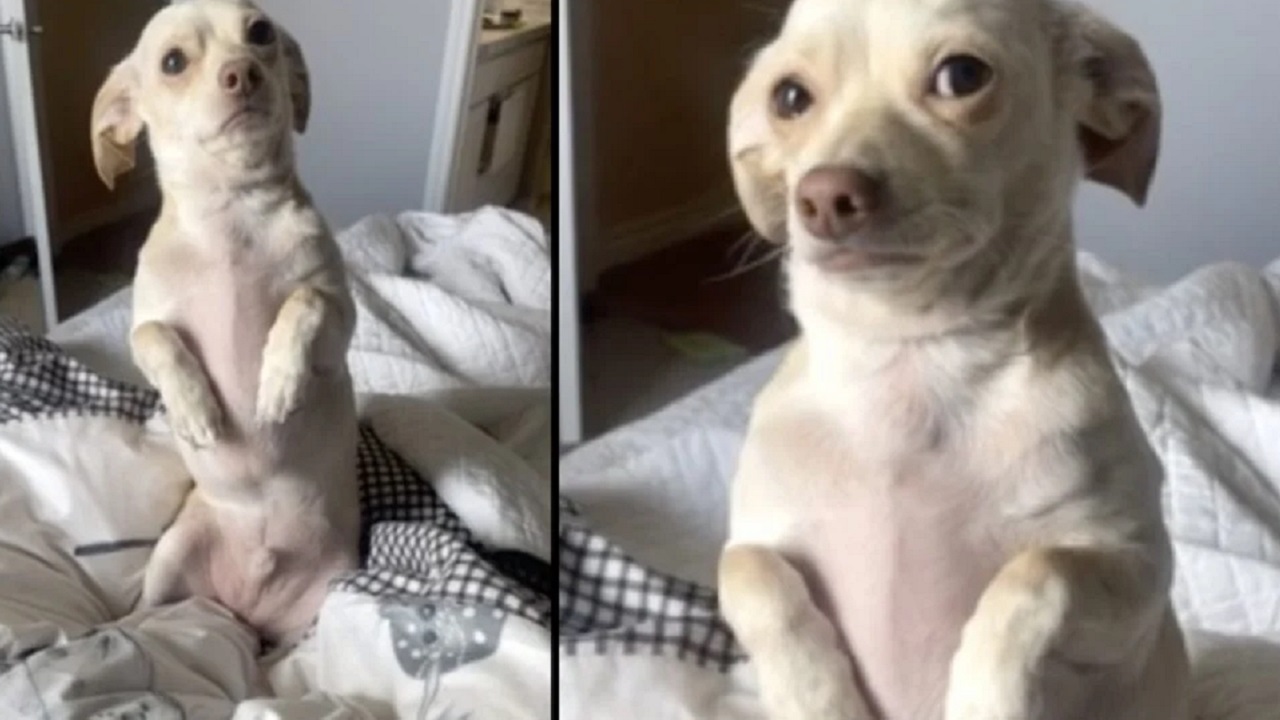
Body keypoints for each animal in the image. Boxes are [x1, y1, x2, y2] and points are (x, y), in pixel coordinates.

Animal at [91, 0, 360, 640]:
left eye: (260, 33)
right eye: (172, 63)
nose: (243, 71)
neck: (232, 216)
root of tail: (249, 611)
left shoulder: (339, 323)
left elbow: (303, 302)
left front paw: (279, 382)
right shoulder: (145, 327)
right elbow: (157, 335)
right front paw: (194, 408)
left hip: (330, 596)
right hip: (172, 557)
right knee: (149, 613)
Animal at [721, 1, 1187, 717]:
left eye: (962, 75)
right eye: (789, 98)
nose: (825, 195)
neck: (910, 359)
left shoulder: (1139, 568)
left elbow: (1036, 573)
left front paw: (983, 697)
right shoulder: (755, 538)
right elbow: (750, 573)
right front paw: (816, 696)